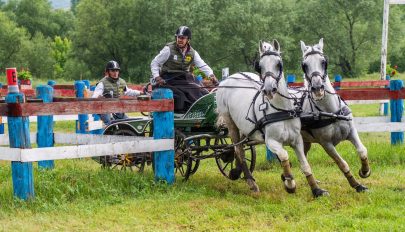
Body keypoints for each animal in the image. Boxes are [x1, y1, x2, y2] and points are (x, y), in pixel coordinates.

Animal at [216, 39, 326, 197]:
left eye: (278, 64)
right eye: (259, 66)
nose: (269, 89)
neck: (281, 110)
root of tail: (229, 78)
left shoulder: (297, 140)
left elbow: (305, 164)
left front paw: (316, 189)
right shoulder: (271, 142)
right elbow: (284, 156)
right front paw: (289, 183)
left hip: (244, 127)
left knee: (240, 148)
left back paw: (236, 172)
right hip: (230, 123)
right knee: (239, 150)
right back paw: (252, 183)